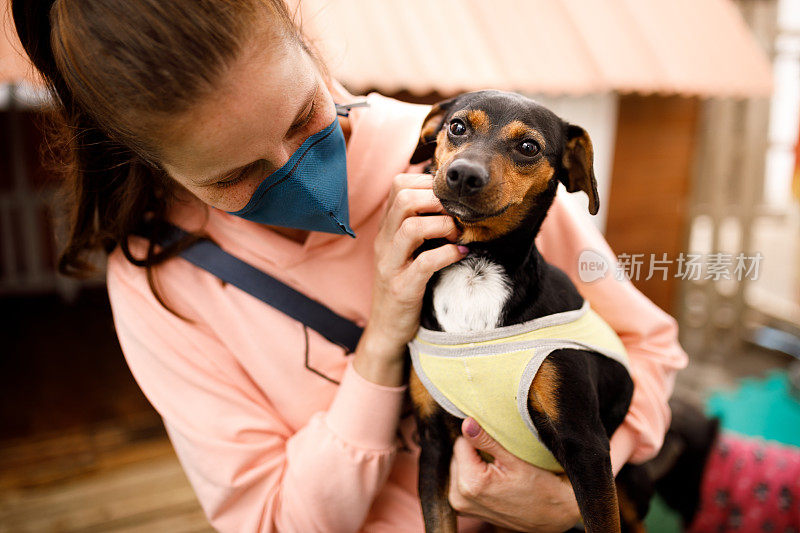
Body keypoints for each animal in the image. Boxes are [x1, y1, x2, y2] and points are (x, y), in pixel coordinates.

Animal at [406, 89, 636, 528]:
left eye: (529, 147)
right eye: (457, 126)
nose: (463, 175)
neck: (478, 267)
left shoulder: (586, 446)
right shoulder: (434, 443)